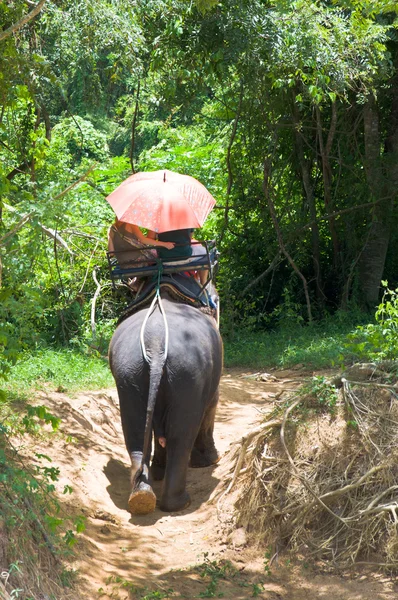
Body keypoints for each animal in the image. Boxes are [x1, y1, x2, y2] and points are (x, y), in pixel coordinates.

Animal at [107, 292, 222, 512]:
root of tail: (156, 342)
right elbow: (211, 406)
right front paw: (212, 460)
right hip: (188, 373)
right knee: (181, 437)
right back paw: (179, 503)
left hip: (129, 372)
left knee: (136, 433)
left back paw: (141, 497)